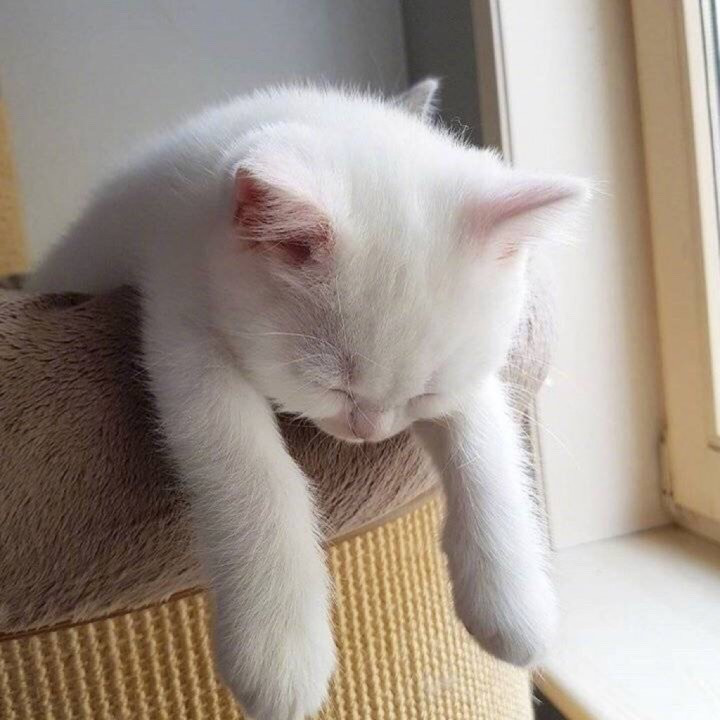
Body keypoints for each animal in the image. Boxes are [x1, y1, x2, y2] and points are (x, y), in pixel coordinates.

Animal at [28, 79, 588, 720]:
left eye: (426, 391)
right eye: (328, 385)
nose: (371, 428)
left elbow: (485, 444)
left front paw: (513, 602)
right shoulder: (179, 310)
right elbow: (246, 465)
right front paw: (279, 652)